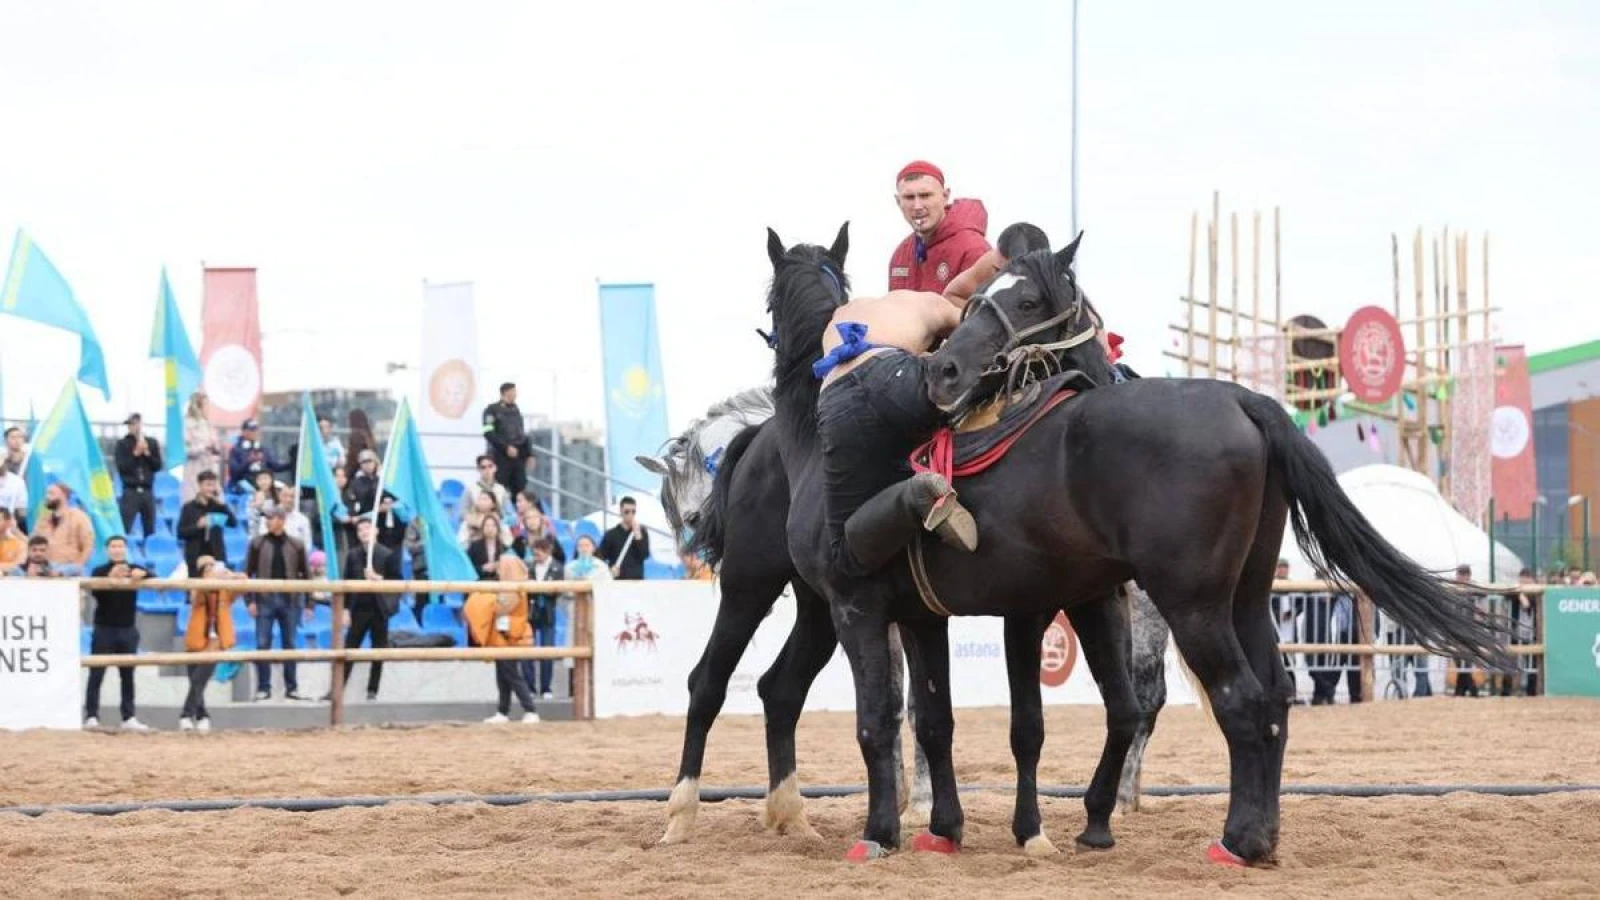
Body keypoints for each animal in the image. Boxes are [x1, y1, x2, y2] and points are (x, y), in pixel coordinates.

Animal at [720, 222, 1504, 864]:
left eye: (1029, 302)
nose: (941, 373)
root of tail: (1240, 397)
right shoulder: (938, 614)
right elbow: (940, 720)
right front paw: (949, 829)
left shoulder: (863, 608)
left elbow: (883, 721)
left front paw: (884, 832)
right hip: (1244, 598)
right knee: (1276, 696)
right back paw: (1257, 831)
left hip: (1192, 604)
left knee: (1242, 702)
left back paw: (1237, 840)